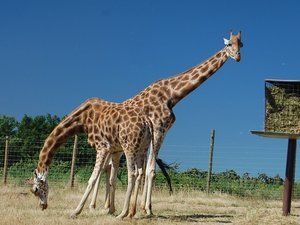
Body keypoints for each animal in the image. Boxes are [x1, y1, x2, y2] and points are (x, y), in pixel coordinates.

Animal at [90, 30, 243, 215]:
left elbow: (144, 170)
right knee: (105, 167)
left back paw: (106, 207)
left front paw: (141, 208)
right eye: (229, 44)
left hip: (117, 146)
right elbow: (150, 170)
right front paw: (147, 209)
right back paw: (95, 206)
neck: (172, 95)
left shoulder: (160, 132)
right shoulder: (158, 128)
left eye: (242, 44)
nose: (238, 56)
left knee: (108, 167)